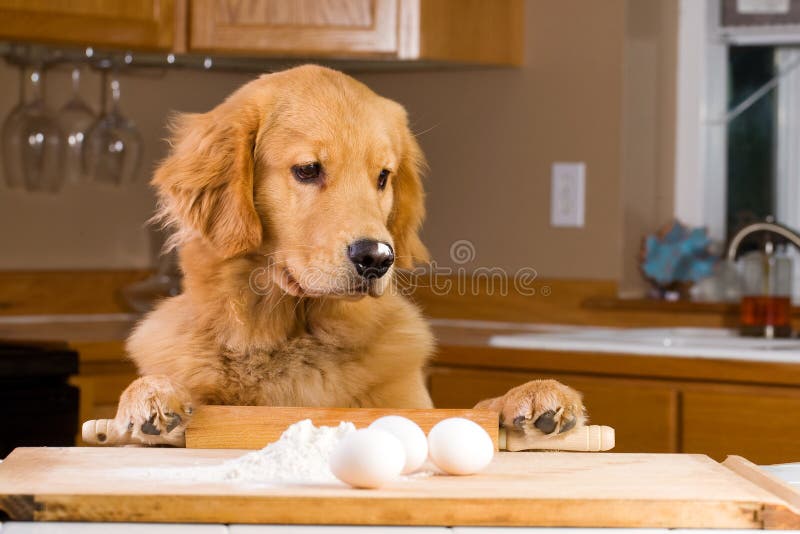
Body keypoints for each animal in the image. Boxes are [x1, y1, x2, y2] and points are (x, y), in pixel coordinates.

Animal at [106, 62, 584, 448]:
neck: (297, 339)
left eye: (383, 176)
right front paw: (149, 397)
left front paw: (529, 397)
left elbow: (474, 409)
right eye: (307, 170)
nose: (376, 258)